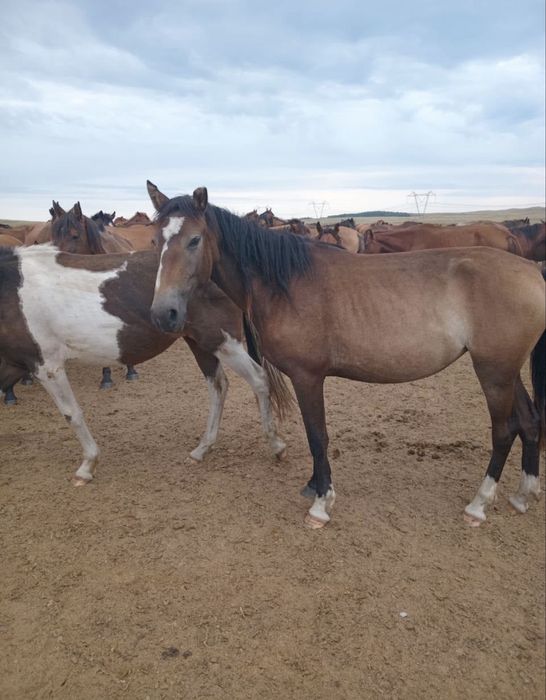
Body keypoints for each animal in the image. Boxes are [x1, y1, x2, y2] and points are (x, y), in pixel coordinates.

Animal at [0, 244, 288, 483]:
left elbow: (72, 414)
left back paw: (275, 445)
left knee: (258, 379)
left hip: (221, 340)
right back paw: (202, 448)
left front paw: (88, 465)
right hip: (201, 343)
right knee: (219, 386)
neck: (10, 292)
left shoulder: (46, 365)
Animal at [147, 183, 545, 530]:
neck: (284, 284)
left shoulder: (308, 376)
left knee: (504, 430)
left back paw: (479, 504)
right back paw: (523, 495)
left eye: (195, 239)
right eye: (156, 240)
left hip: (493, 371)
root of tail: (532, 270)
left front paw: (321, 504)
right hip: (506, 371)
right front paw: (313, 485)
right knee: (528, 421)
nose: (164, 313)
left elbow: (317, 435)